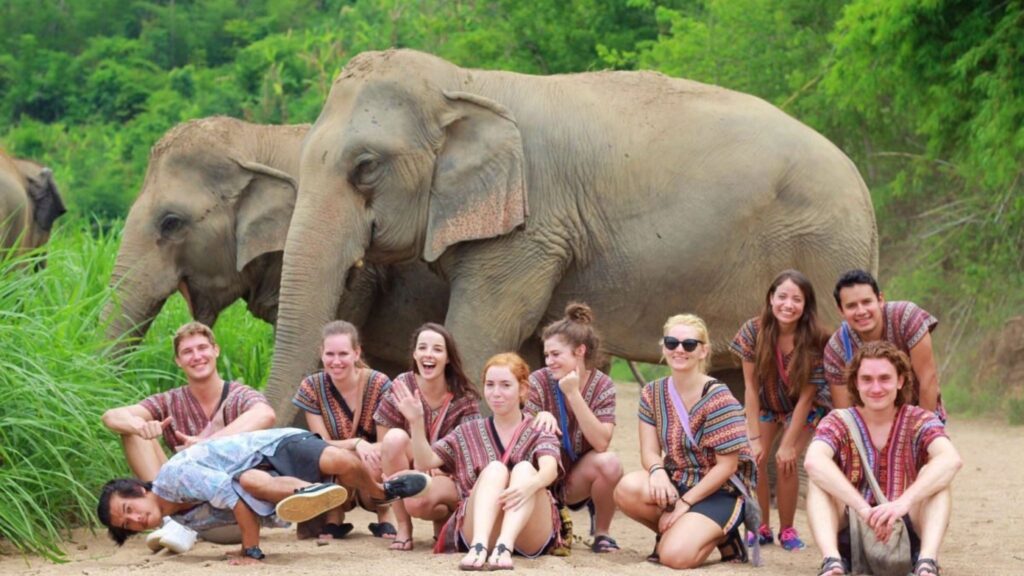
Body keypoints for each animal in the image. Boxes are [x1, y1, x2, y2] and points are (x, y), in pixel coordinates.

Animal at [264, 49, 878, 423]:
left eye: (365, 167)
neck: (463, 81)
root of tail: (864, 189)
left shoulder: (533, 227)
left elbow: (477, 334)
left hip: (824, 249)